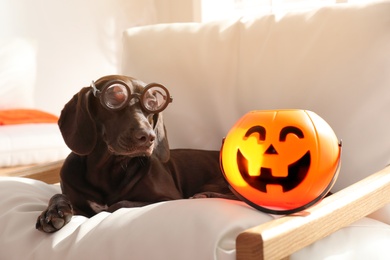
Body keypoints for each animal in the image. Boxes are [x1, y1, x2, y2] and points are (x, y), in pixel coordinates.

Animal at [36, 74, 236, 233]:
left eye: (152, 104)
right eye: (114, 99)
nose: (148, 137)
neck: (107, 171)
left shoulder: (169, 198)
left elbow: (119, 204)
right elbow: (58, 196)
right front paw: (52, 212)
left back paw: (206, 196)